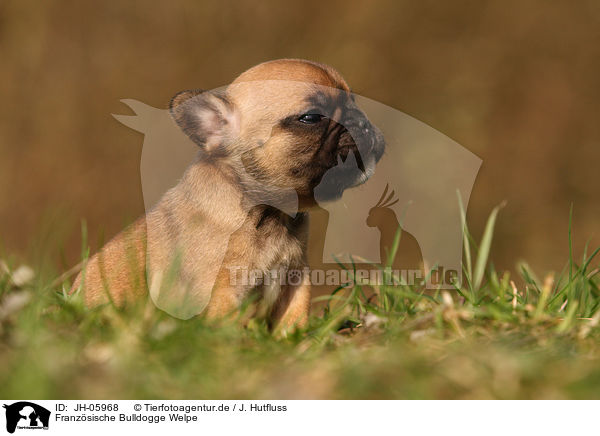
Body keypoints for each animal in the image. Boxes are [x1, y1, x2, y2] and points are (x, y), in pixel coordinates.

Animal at [71, 58, 384, 330]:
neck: (266, 212)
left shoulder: (294, 280)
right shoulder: (223, 291)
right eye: (311, 118)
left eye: (354, 104)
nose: (363, 122)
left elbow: (293, 317)